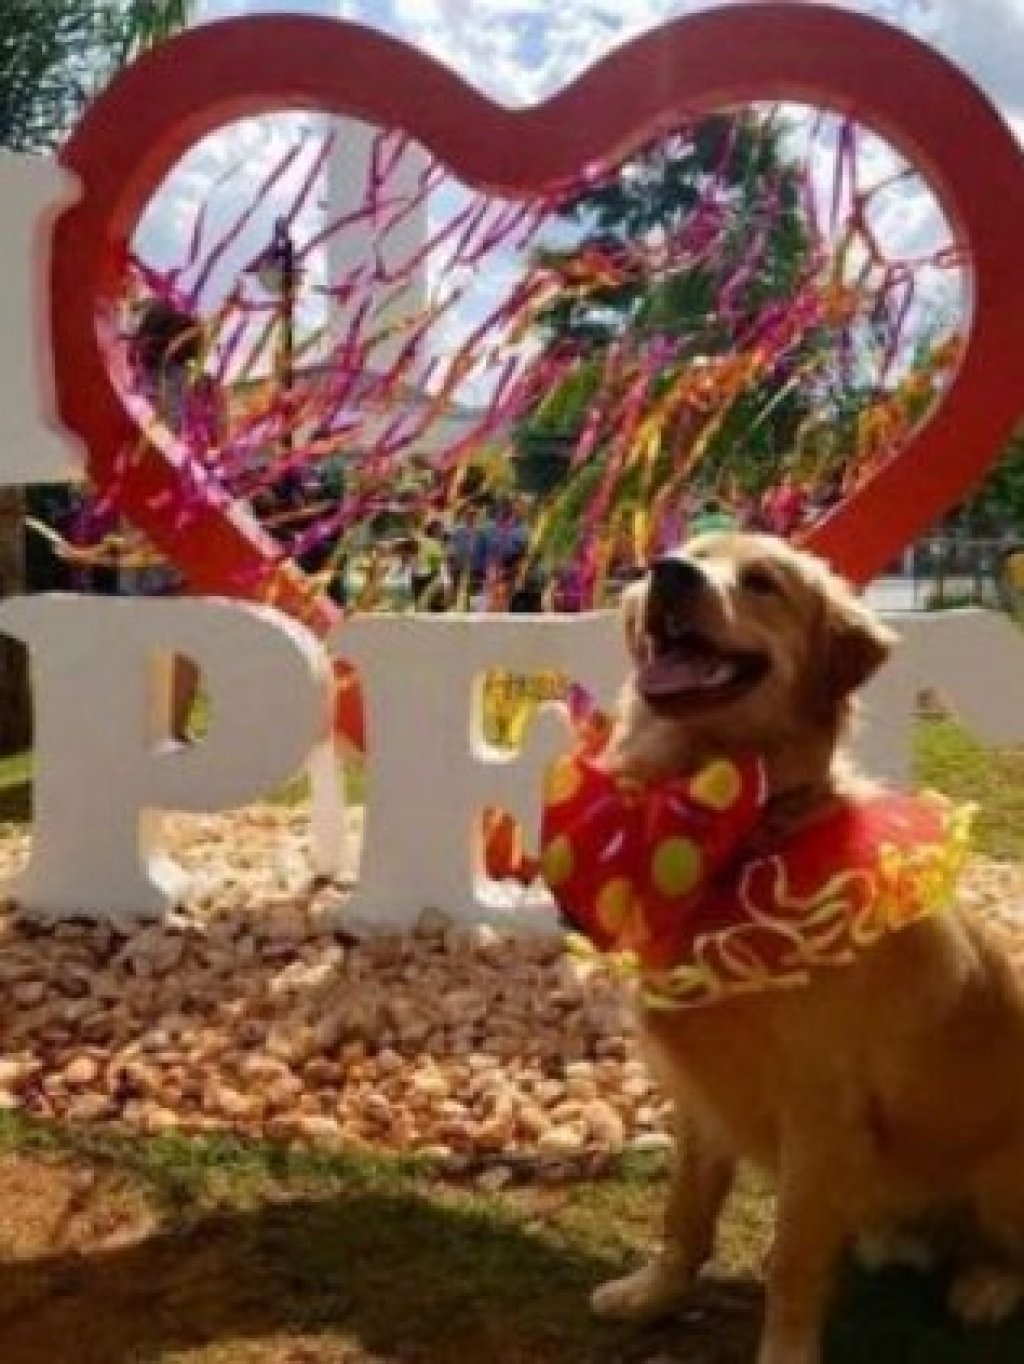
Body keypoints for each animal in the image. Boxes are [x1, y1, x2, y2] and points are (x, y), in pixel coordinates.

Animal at [589, 531, 1024, 1364]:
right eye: (689, 551)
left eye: (762, 583)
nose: (668, 574)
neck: (737, 836)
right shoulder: (704, 1095)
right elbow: (685, 1215)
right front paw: (653, 1295)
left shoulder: (820, 1111)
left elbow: (791, 1256)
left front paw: (785, 1348)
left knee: (1002, 1248)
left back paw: (987, 1286)